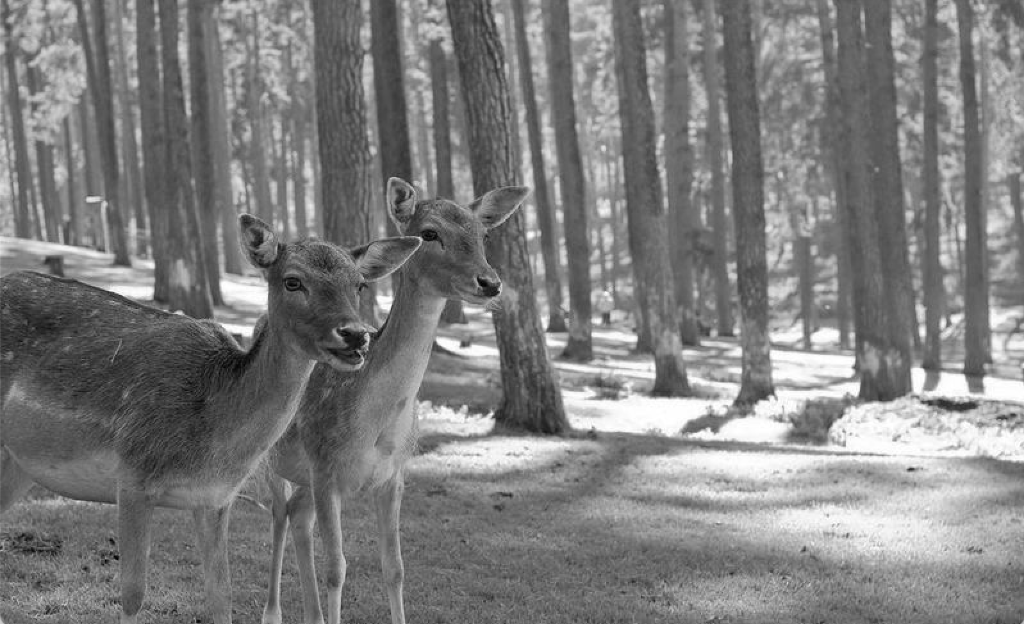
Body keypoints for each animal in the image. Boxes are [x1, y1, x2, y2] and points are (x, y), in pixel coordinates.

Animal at [0, 214, 422, 624]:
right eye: (293, 281)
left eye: (360, 285)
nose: (355, 334)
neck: (213, 440)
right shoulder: (133, 476)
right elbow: (133, 595)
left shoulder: (215, 499)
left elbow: (222, 600)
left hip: (18, 465)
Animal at [260, 178, 527, 624]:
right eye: (430, 234)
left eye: (484, 234)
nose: (490, 282)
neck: (376, 426)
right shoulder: (325, 467)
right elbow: (337, 569)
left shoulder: (393, 474)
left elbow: (396, 568)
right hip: (270, 457)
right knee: (279, 515)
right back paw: (272, 612)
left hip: (305, 478)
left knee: (297, 515)